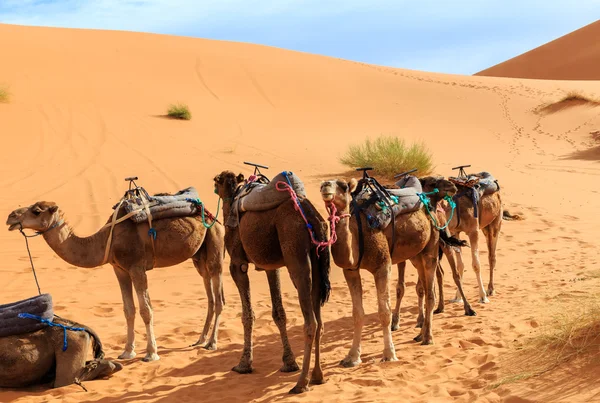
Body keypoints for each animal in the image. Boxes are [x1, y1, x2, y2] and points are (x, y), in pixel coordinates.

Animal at [5, 200, 226, 362]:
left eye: (36, 211)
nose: (10, 217)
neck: (105, 242)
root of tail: (214, 218)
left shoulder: (137, 267)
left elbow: (146, 310)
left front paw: (151, 353)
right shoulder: (119, 269)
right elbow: (128, 310)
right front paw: (127, 351)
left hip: (215, 245)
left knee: (219, 297)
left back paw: (212, 343)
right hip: (198, 257)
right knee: (210, 294)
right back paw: (200, 340)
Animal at [213, 170, 330, 394]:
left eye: (218, 181)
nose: (214, 185)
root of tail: (312, 217)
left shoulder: (237, 263)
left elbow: (247, 314)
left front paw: (244, 364)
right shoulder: (270, 266)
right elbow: (278, 313)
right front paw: (288, 362)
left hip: (296, 256)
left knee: (310, 322)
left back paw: (301, 383)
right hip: (318, 260)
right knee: (319, 321)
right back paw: (318, 376)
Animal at [318, 175, 464, 368]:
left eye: (343, 186)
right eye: (323, 184)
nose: (325, 186)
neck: (357, 233)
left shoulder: (383, 266)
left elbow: (384, 312)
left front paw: (389, 354)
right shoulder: (350, 270)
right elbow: (357, 313)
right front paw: (352, 357)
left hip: (431, 247)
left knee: (431, 291)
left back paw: (428, 337)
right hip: (416, 254)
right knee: (425, 288)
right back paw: (420, 334)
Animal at [420, 175, 504, 304]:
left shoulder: (473, 231)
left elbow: (476, 264)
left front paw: (483, 297)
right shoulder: (454, 232)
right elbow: (460, 266)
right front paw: (458, 297)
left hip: (496, 221)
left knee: (492, 256)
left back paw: (490, 289)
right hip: (486, 227)